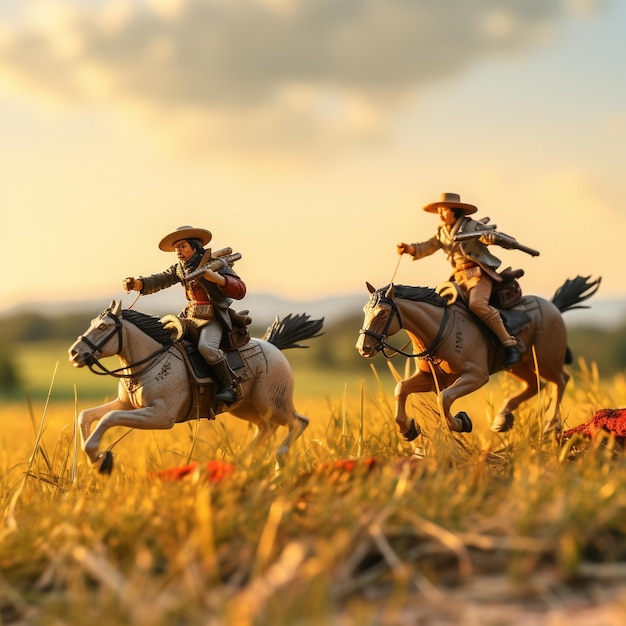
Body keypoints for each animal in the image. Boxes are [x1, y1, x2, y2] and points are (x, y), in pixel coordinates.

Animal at [67, 300, 322, 470]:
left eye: (103, 327)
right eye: (92, 323)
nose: (74, 354)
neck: (152, 360)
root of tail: (274, 346)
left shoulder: (161, 416)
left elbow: (108, 418)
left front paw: (100, 459)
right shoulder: (126, 404)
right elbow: (86, 416)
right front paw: (96, 458)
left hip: (272, 402)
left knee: (299, 422)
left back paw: (279, 461)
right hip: (246, 408)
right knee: (266, 427)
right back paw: (241, 461)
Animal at [354, 272, 596, 438]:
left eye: (383, 313)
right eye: (365, 310)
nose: (363, 348)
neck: (442, 329)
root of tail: (554, 307)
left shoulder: (476, 376)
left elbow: (444, 399)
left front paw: (461, 422)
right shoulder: (431, 379)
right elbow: (401, 388)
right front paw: (408, 429)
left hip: (546, 361)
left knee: (561, 380)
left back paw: (550, 425)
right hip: (519, 366)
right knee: (535, 385)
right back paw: (502, 419)